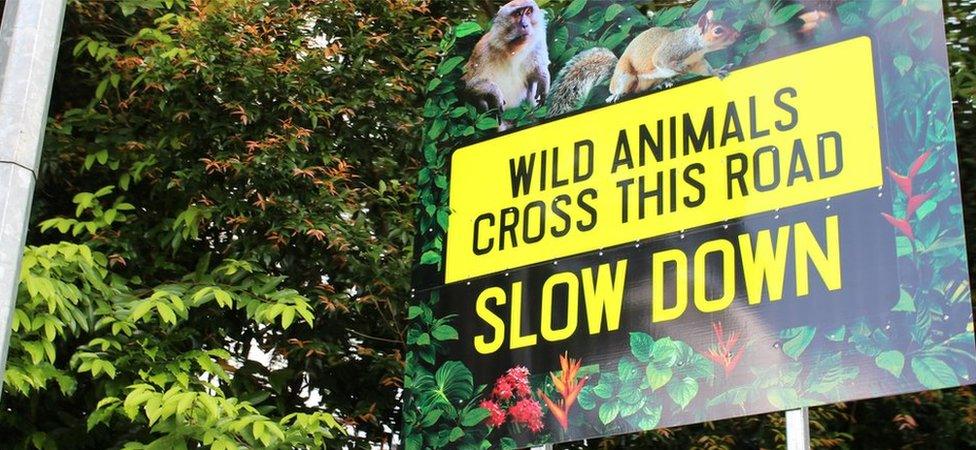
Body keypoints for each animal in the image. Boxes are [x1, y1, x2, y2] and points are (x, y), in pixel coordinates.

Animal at [460, 0, 544, 130]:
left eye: (528, 12)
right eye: (518, 14)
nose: (525, 25)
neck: (511, 50)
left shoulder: (534, 45)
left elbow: (535, 72)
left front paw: (544, 78)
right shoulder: (483, 50)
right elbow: (467, 85)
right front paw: (495, 94)